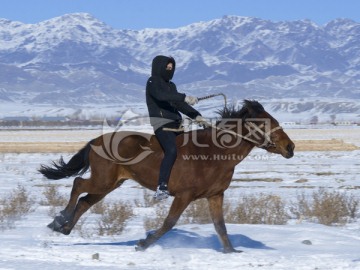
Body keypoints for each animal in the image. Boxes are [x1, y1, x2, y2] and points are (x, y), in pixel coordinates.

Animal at [38, 99, 296, 253]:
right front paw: (143, 244)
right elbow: (169, 222)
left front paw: (231, 251)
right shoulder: (183, 195)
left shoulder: (215, 196)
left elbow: (220, 226)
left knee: (84, 201)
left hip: (110, 184)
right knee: (78, 185)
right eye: (265, 123)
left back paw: (63, 228)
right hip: (103, 180)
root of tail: (96, 141)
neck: (214, 153)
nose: (290, 147)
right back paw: (59, 220)